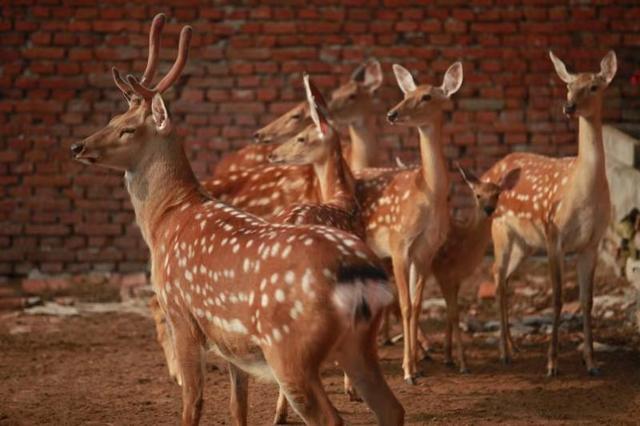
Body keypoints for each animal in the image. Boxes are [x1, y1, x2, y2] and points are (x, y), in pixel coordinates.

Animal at [352, 62, 462, 382]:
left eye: (426, 96)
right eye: (406, 93)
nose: (392, 114)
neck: (427, 194)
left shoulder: (425, 251)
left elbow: (416, 304)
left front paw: (416, 366)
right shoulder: (398, 243)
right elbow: (403, 304)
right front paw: (407, 370)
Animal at [484, 50, 616, 376]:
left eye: (593, 86)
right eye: (568, 86)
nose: (568, 107)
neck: (583, 193)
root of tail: (490, 170)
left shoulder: (592, 243)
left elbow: (587, 300)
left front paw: (591, 362)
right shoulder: (555, 236)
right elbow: (557, 299)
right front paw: (552, 363)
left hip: (526, 243)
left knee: (504, 280)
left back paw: (513, 346)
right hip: (500, 230)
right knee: (496, 275)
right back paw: (504, 352)